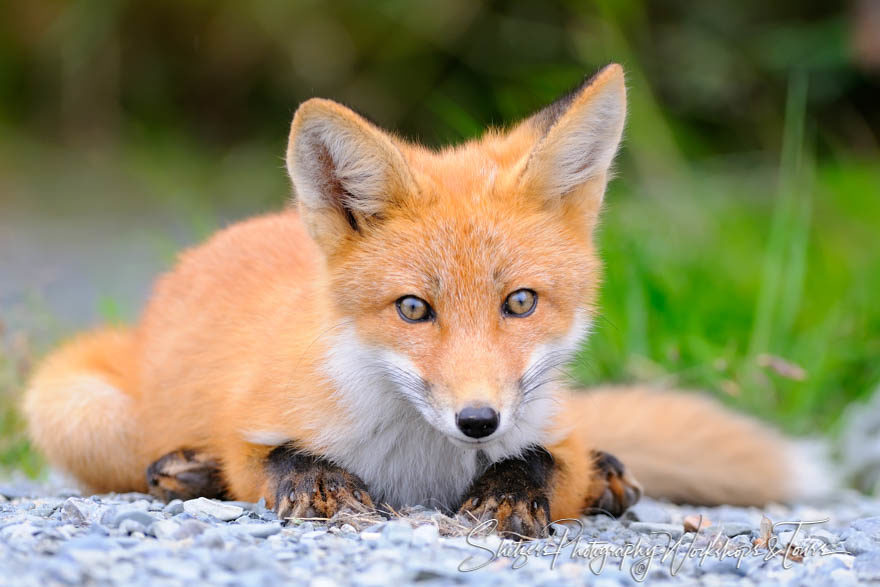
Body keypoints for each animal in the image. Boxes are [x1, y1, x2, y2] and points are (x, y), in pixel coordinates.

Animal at [24, 64, 816, 536]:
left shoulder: (551, 433)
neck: (422, 467)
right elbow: (271, 456)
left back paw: (610, 475)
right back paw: (185, 468)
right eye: (413, 309)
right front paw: (316, 481)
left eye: (520, 302)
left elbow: (548, 462)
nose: (478, 419)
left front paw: (514, 486)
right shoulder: (250, 420)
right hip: (81, 411)